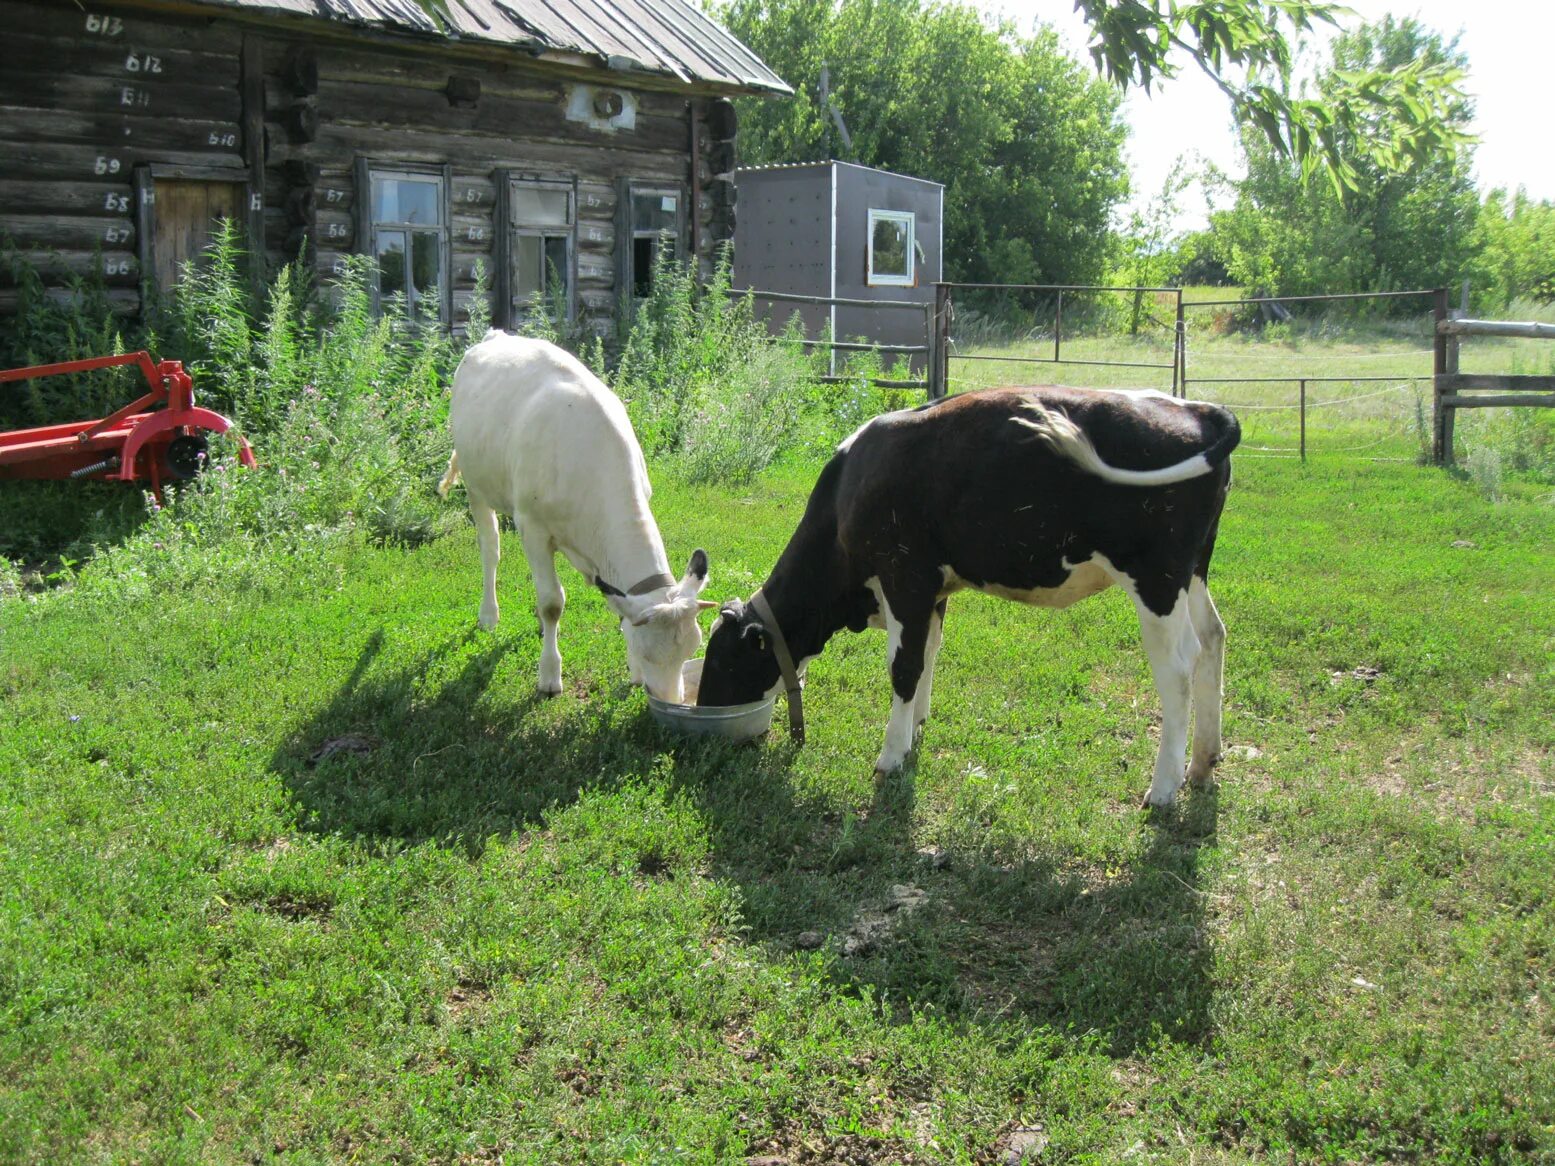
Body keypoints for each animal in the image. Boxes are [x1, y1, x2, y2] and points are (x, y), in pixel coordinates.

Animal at [441, 335, 712, 702]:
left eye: (691, 649)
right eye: (648, 652)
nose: (671, 701)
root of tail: (495, 336)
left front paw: (634, 673)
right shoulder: (533, 527)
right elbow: (552, 602)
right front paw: (549, 675)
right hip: (475, 484)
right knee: (490, 549)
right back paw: (489, 614)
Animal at [699, 388, 1244, 808]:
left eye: (722, 661)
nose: (704, 714)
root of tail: (1196, 408)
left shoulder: (905, 576)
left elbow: (904, 667)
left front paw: (890, 756)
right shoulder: (934, 589)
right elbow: (928, 652)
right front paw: (915, 728)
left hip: (1156, 578)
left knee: (1178, 666)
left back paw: (1164, 787)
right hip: (1194, 570)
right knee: (1214, 637)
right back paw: (1204, 760)